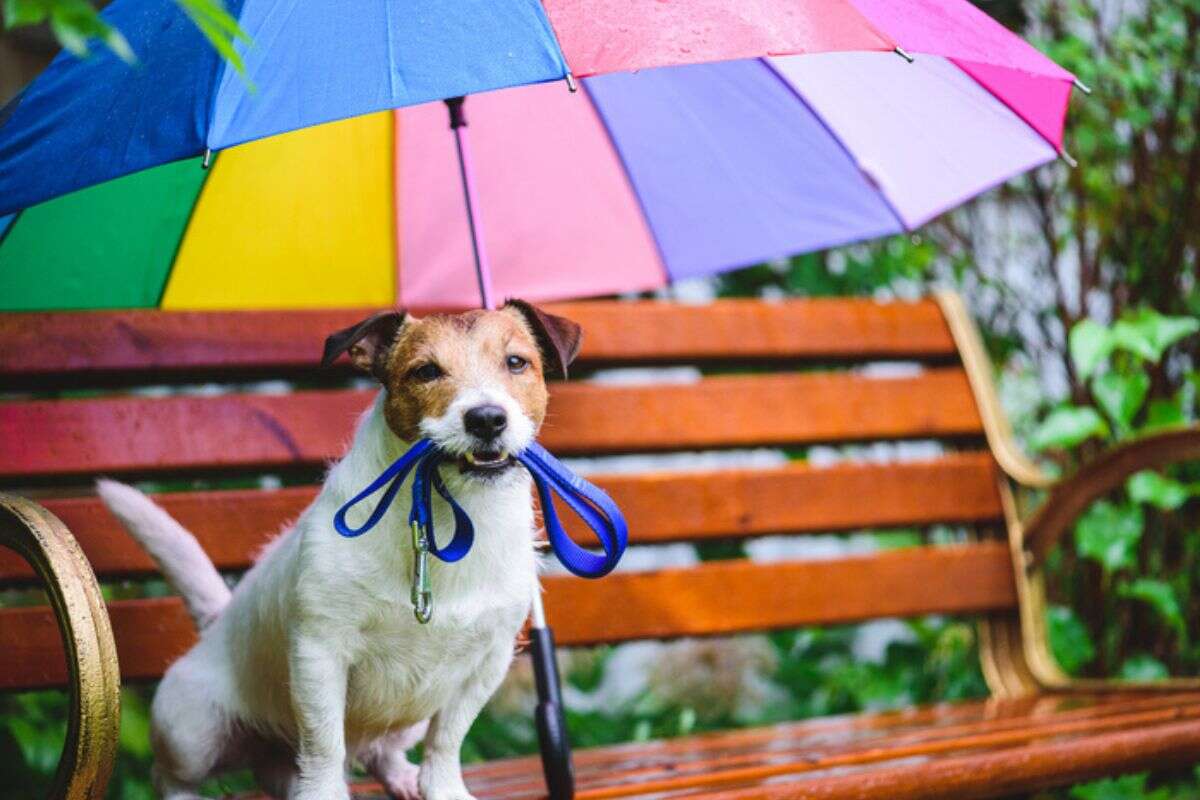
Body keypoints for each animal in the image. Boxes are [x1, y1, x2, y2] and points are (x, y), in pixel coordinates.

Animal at [96, 302, 583, 800]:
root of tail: (216, 622)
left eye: (516, 362)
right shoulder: (320, 653)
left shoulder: (489, 661)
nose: (486, 418)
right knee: (170, 775)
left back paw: (402, 778)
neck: (448, 517)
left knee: (379, 753)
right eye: (426, 371)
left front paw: (443, 788)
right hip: (190, 729)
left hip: (405, 717)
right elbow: (323, 743)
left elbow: (447, 739)